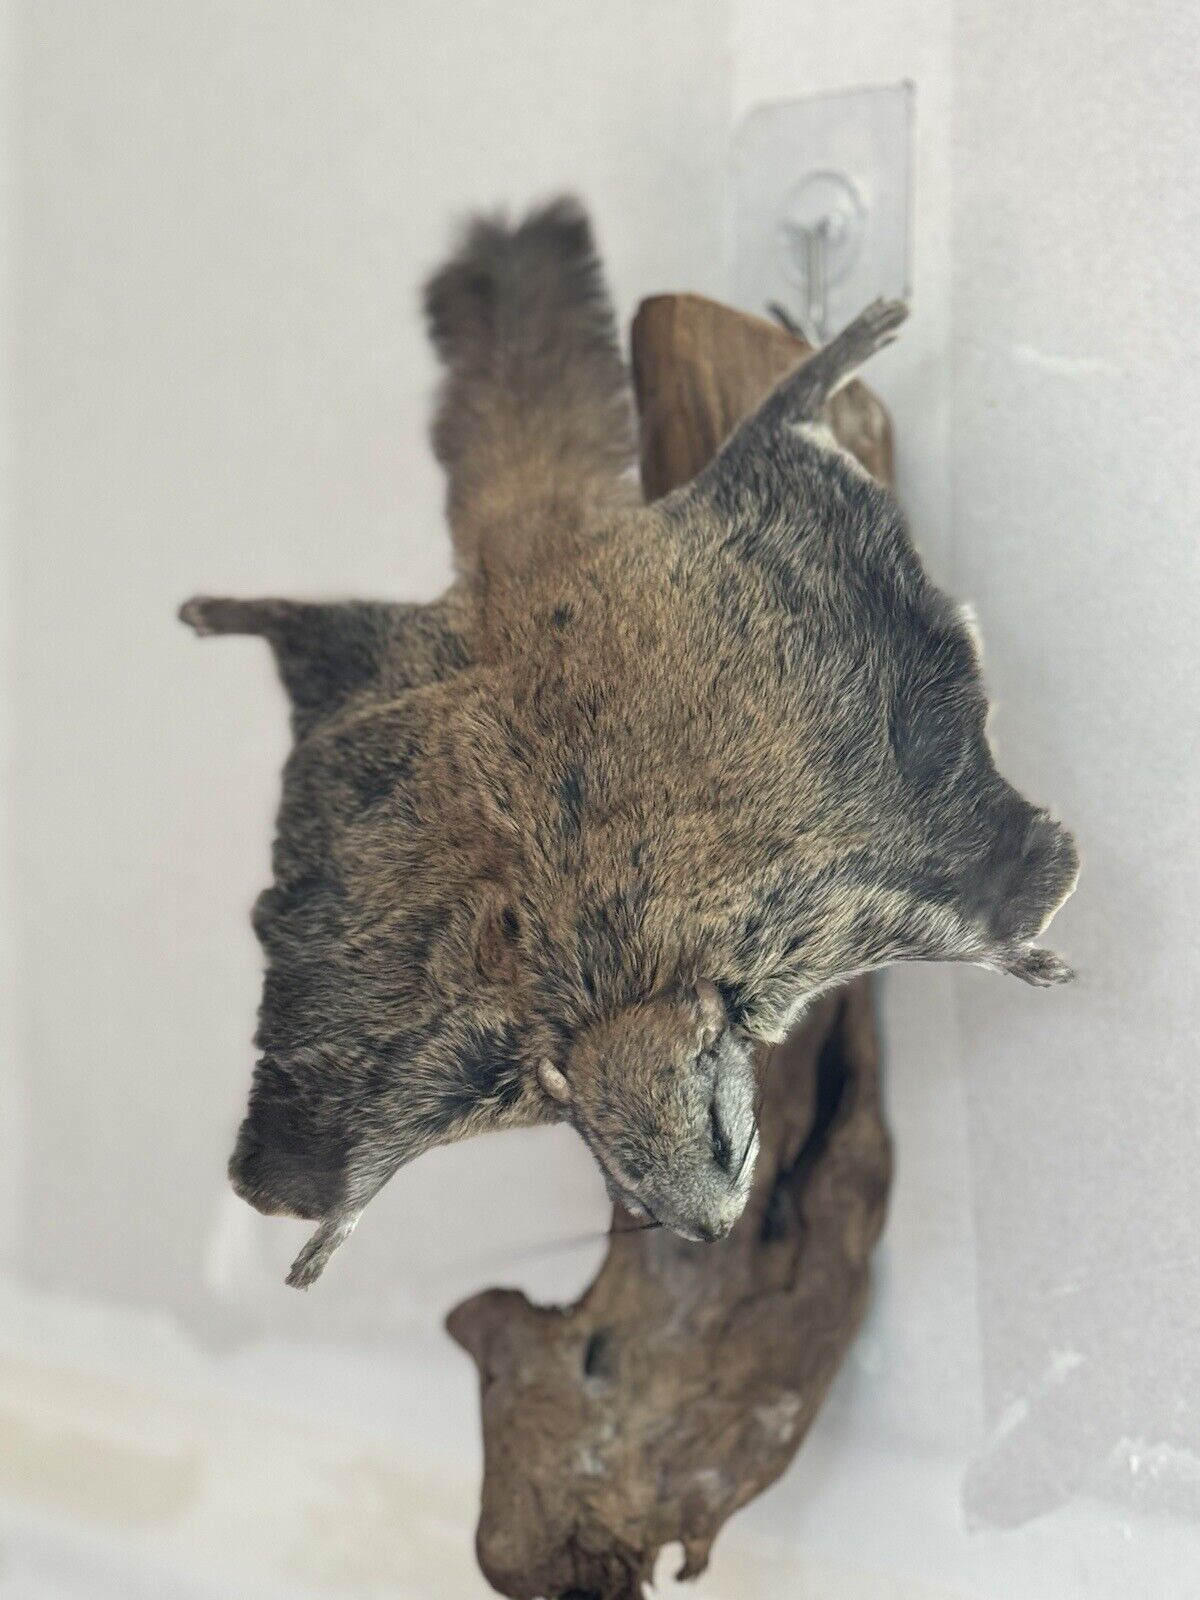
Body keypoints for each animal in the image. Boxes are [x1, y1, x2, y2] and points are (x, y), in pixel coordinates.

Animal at [182, 198, 1078, 1288]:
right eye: (631, 1186)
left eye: (726, 1141)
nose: (712, 1233)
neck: (617, 990)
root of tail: (536, 575)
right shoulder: (442, 1068)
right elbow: (355, 1167)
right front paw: (326, 1237)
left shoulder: (819, 919)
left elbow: (971, 924)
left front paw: (1025, 956)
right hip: (380, 660)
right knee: (306, 625)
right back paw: (219, 609)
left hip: (762, 506)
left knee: (773, 432)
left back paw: (829, 353)